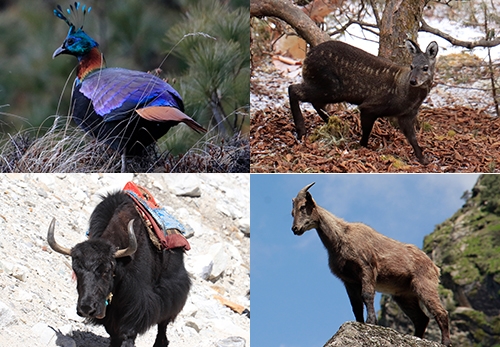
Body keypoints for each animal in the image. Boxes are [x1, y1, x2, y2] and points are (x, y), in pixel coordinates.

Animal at [292, 184, 452, 346]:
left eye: (303, 206)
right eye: (292, 212)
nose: (295, 229)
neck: (340, 239)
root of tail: (434, 267)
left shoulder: (366, 268)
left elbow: (367, 295)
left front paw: (370, 322)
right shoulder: (348, 280)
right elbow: (356, 305)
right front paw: (360, 323)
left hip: (424, 284)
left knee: (440, 312)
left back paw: (445, 341)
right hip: (404, 295)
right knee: (421, 318)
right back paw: (417, 338)